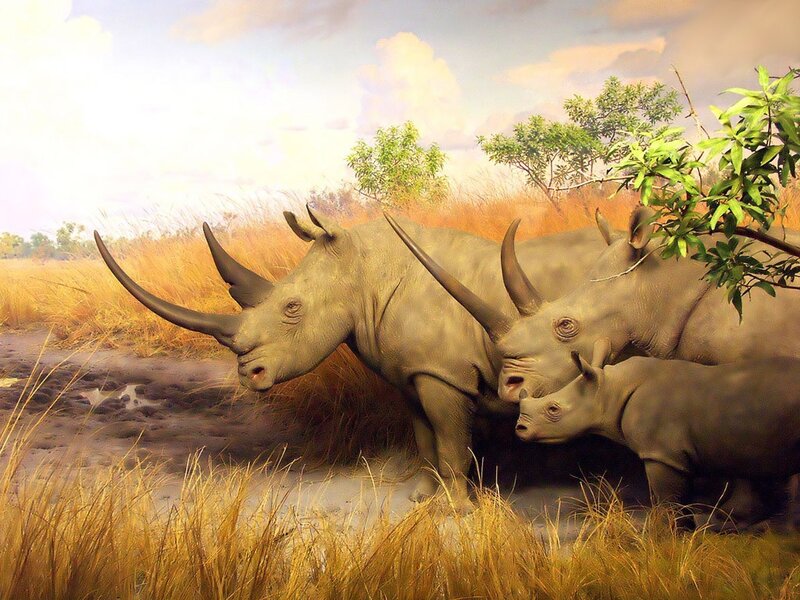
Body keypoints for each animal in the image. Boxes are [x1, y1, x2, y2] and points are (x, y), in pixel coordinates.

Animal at [94, 207, 609, 510]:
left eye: (292, 308)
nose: (248, 374)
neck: (364, 272)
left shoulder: (443, 374)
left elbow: (449, 443)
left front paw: (456, 511)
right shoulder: (412, 373)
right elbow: (425, 440)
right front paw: (421, 499)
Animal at [515, 346, 800, 529]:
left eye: (553, 409)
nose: (520, 428)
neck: (610, 389)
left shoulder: (662, 454)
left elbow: (667, 499)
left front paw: (669, 538)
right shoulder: (674, 454)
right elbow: (678, 499)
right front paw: (687, 533)